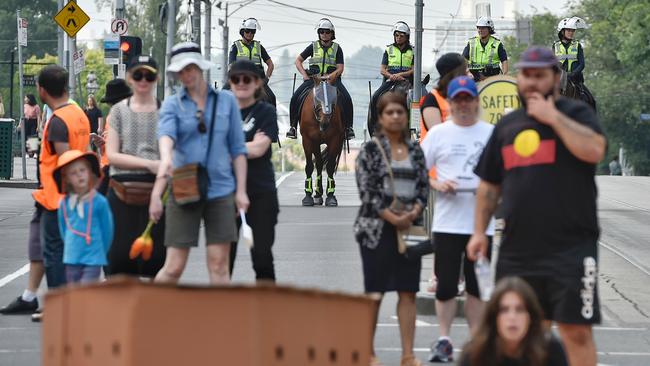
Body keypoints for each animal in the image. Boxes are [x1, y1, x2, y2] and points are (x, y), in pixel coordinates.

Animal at [298, 75, 344, 206]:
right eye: (317, 98)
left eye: (334, 97)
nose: (325, 123)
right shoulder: (307, 140)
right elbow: (309, 165)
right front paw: (307, 196)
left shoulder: (335, 140)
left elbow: (330, 166)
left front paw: (331, 196)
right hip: (315, 143)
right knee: (318, 163)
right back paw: (317, 194)